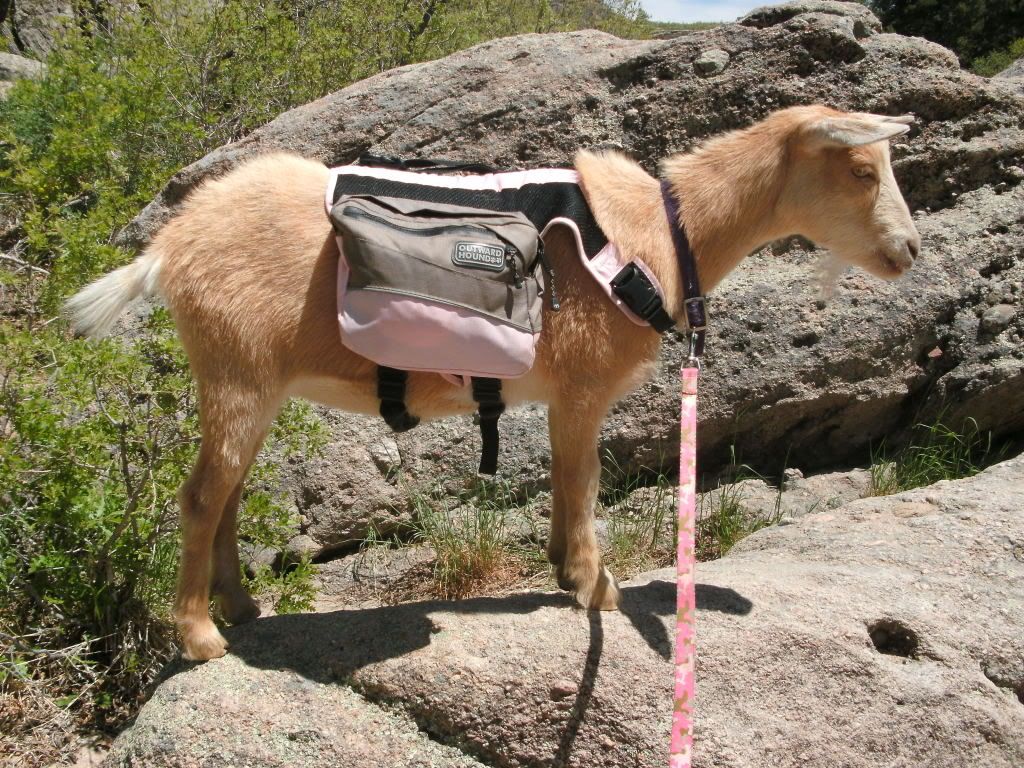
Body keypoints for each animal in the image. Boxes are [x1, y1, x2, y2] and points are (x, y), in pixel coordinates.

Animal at [66, 105, 920, 661]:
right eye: (859, 168)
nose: (909, 251)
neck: (665, 232)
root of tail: (171, 248)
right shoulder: (582, 384)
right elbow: (583, 477)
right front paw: (596, 587)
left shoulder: (568, 394)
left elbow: (568, 478)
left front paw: (564, 566)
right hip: (235, 370)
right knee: (201, 496)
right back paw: (201, 636)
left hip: (251, 378)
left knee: (230, 492)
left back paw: (244, 608)